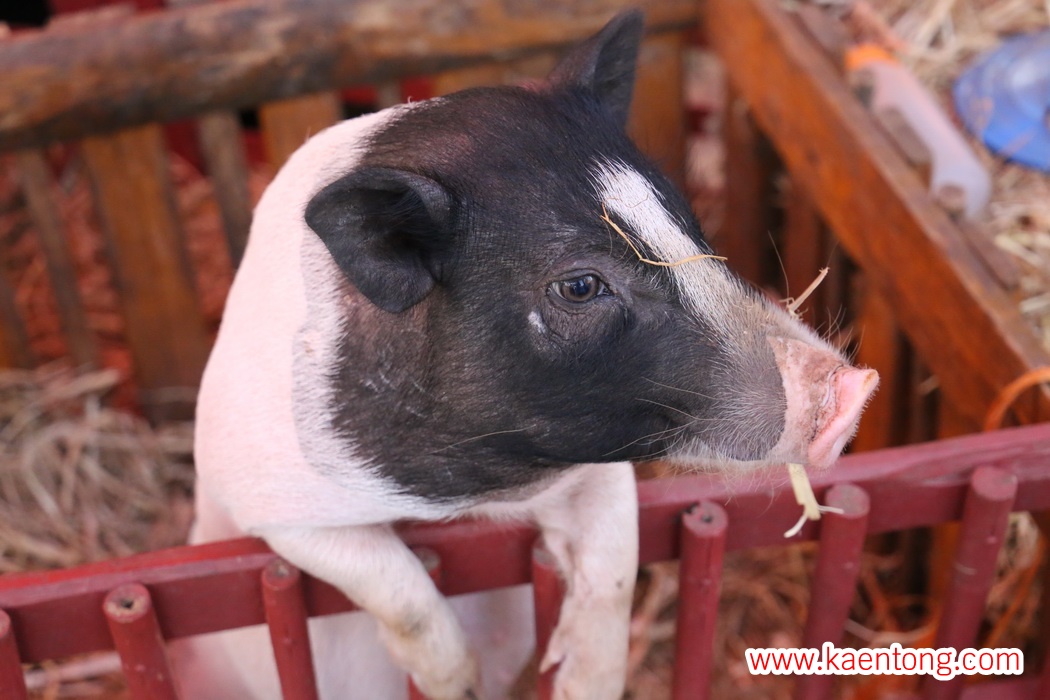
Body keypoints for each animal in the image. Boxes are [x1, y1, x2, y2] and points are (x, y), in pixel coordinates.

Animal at [183, 9, 878, 700]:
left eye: (691, 231)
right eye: (580, 286)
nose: (856, 388)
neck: (481, 495)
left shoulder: (600, 458)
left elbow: (616, 557)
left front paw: (583, 684)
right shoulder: (263, 498)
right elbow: (390, 577)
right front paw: (455, 683)